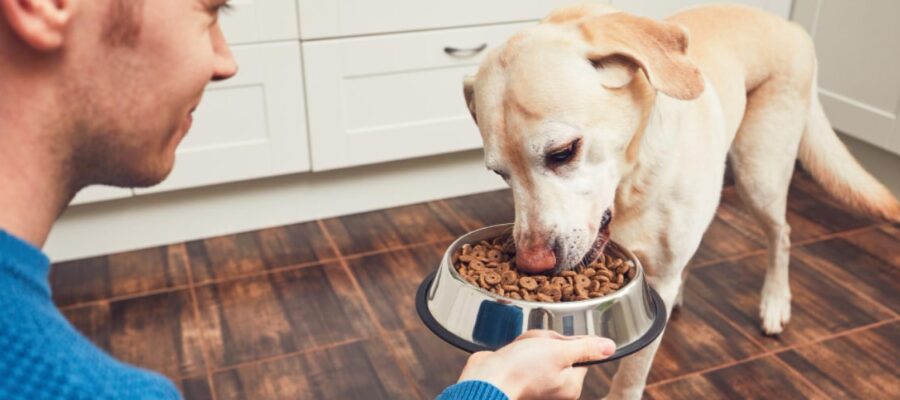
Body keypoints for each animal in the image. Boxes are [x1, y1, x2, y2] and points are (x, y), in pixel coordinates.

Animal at [464, 1, 900, 398]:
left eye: (563, 151)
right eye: (499, 174)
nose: (532, 264)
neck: (632, 181)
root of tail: (791, 27)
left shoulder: (659, 278)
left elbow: (631, 373)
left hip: (759, 174)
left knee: (783, 234)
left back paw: (775, 302)